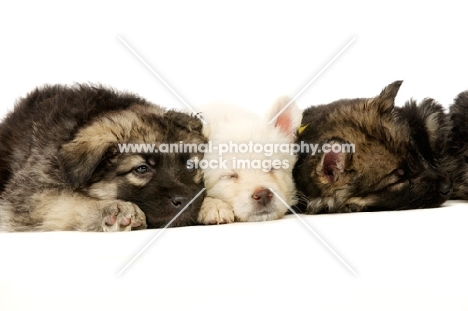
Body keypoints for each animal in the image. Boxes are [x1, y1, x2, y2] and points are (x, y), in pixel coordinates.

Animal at [0, 84, 205, 232]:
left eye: (190, 165)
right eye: (142, 168)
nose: (187, 201)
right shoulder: (28, 197)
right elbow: (69, 201)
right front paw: (113, 209)